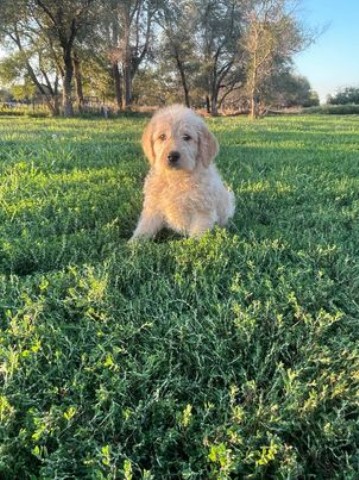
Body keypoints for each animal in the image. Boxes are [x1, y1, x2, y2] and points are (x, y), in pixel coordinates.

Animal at [131, 105, 235, 240]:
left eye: (187, 137)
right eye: (162, 137)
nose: (173, 156)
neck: (177, 177)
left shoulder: (203, 211)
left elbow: (198, 236)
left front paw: (192, 244)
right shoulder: (153, 208)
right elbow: (145, 227)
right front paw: (134, 242)